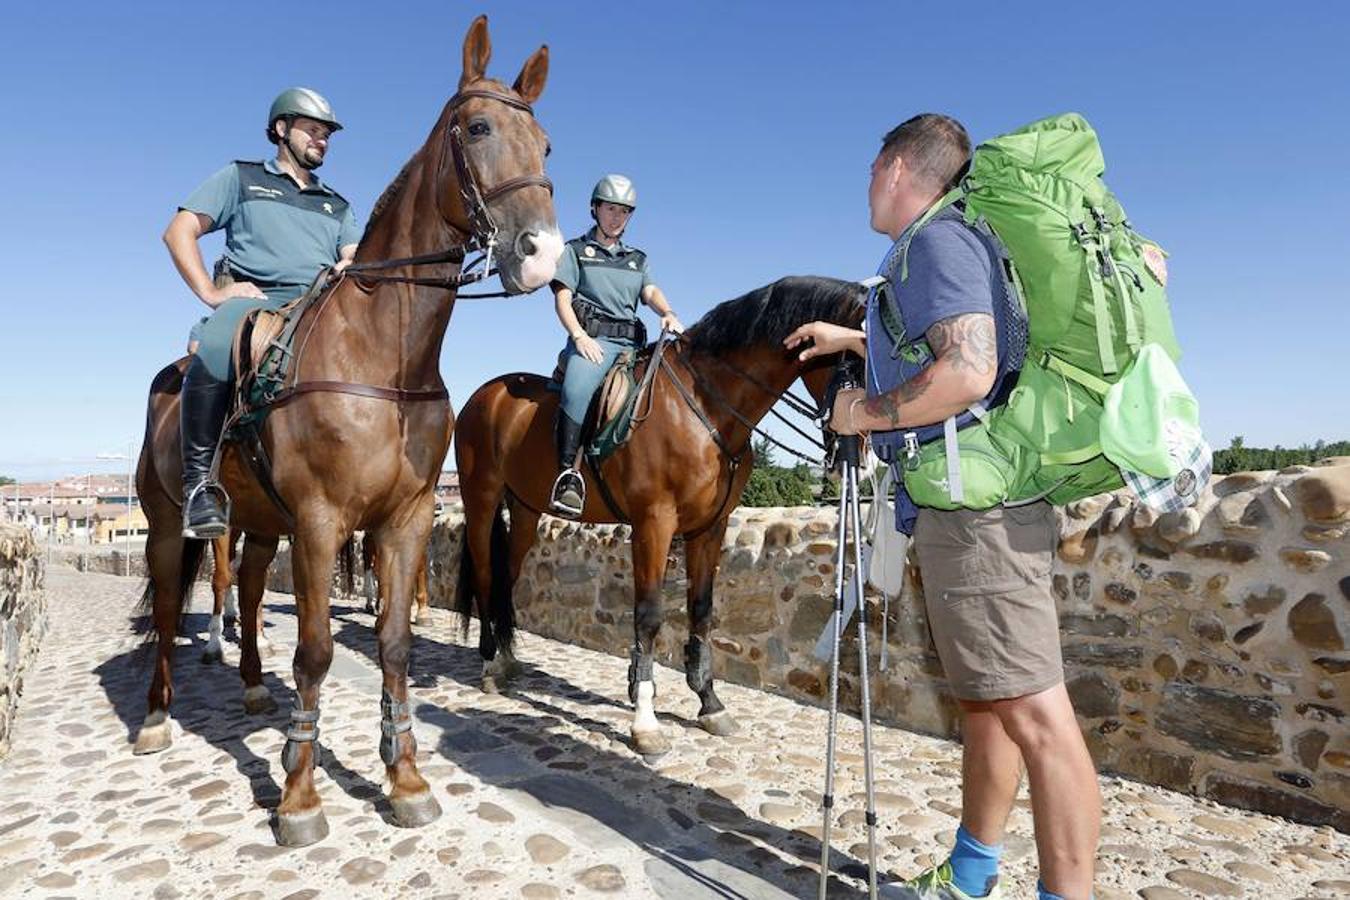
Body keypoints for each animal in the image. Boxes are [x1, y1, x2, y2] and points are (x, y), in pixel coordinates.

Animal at [130, 14, 558, 847]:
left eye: (547, 144)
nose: (543, 252)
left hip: (264, 525)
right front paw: (299, 794)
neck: (382, 355)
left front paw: (405, 776)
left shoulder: (405, 519)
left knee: (250, 594)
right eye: (480, 127)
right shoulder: (323, 521)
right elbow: (318, 650)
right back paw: (158, 717)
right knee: (168, 607)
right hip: (170, 523)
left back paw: (252, 687)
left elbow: (392, 643)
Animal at [448, 277, 858, 755]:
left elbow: (701, 610)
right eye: (857, 358)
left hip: (527, 512)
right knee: (484, 576)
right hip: (481, 499)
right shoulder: (654, 523)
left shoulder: (709, 528)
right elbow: (648, 614)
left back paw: (507, 659)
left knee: (506, 578)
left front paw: (709, 702)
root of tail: (487, 394)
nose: (859, 449)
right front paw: (645, 717)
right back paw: (489, 664)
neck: (704, 406)